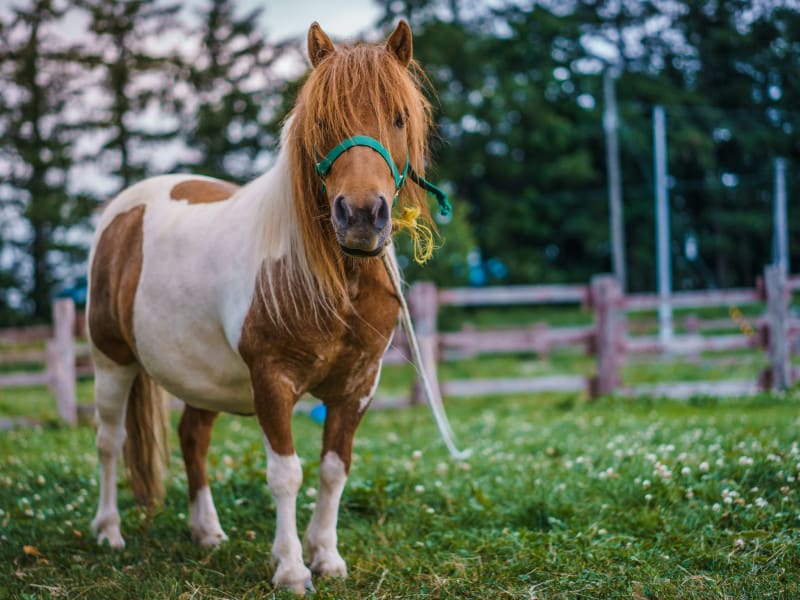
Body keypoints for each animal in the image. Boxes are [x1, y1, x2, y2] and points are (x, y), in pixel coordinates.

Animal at [86, 21, 440, 594]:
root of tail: (122, 212)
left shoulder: (357, 386)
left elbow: (333, 468)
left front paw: (327, 558)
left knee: (193, 438)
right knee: (109, 441)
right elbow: (287, 473)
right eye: (322, 120)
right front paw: (292, 569)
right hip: (110, 360)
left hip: (202, 374)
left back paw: (206, 532)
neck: (331, 279)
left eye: (400, 117)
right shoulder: (272, 380)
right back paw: (109, 531)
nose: (362, 217)